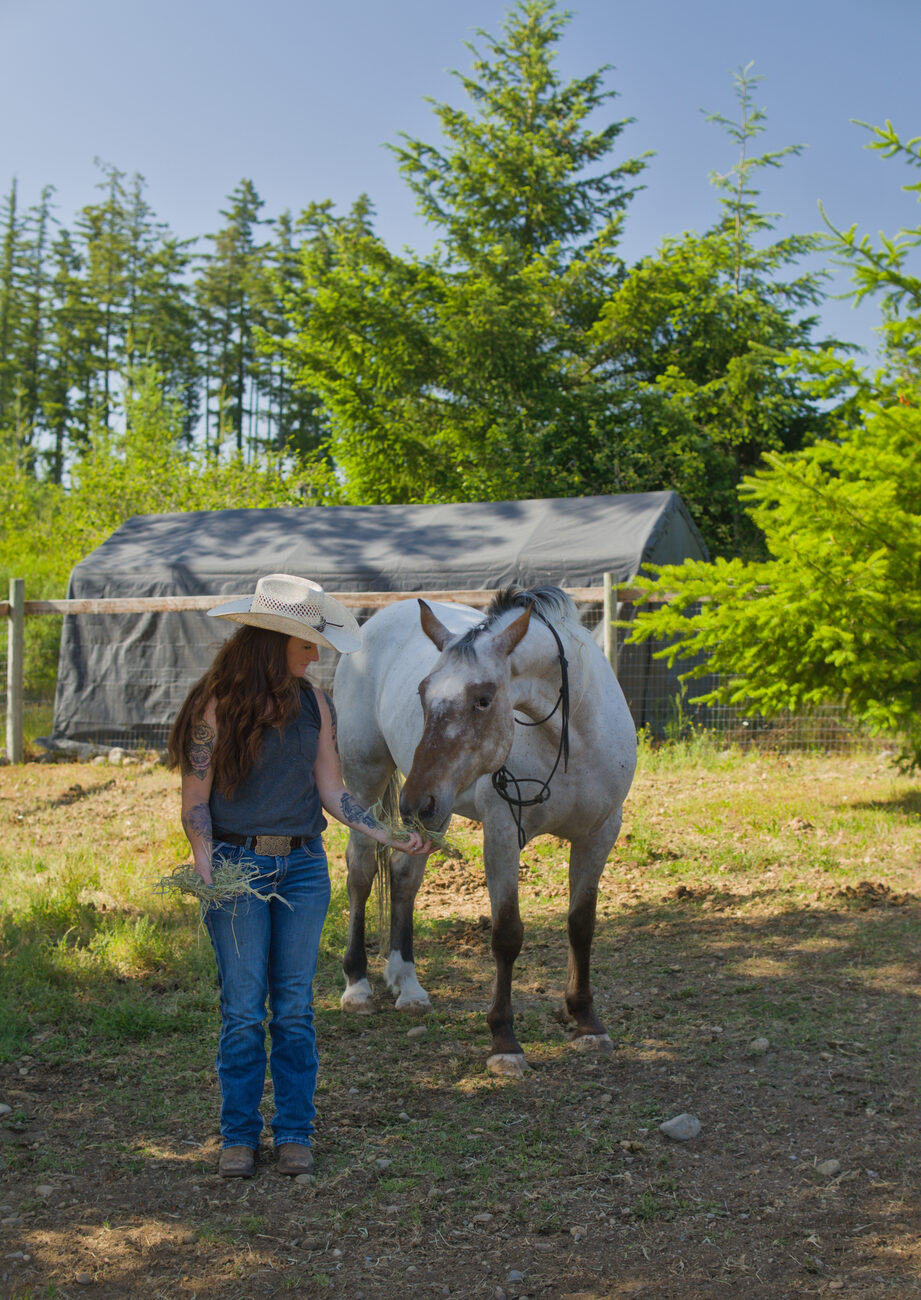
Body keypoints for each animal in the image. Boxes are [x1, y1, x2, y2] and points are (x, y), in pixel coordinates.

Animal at [332, 585, 637, 1076]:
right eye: (422, 693)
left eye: (483, 698)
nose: (413, 800)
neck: (571, 737)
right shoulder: (501, 836)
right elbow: (507, 934)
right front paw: (504, 1042)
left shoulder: (600, 834)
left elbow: (581, 925)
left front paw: (586, 1021)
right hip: (371, 784)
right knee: (361, 873)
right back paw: (358, 986)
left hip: (436, 813)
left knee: (403, 876)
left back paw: (407, 985)